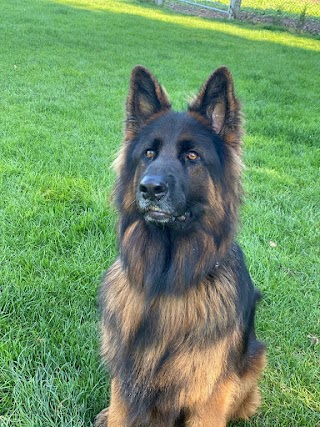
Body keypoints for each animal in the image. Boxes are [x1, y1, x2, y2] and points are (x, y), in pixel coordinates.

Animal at [96, 66, 266, 427]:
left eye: (192, 155)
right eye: (149, 153)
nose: (150, 188)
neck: (165, 278)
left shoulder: (208, 396)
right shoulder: (125, 380)